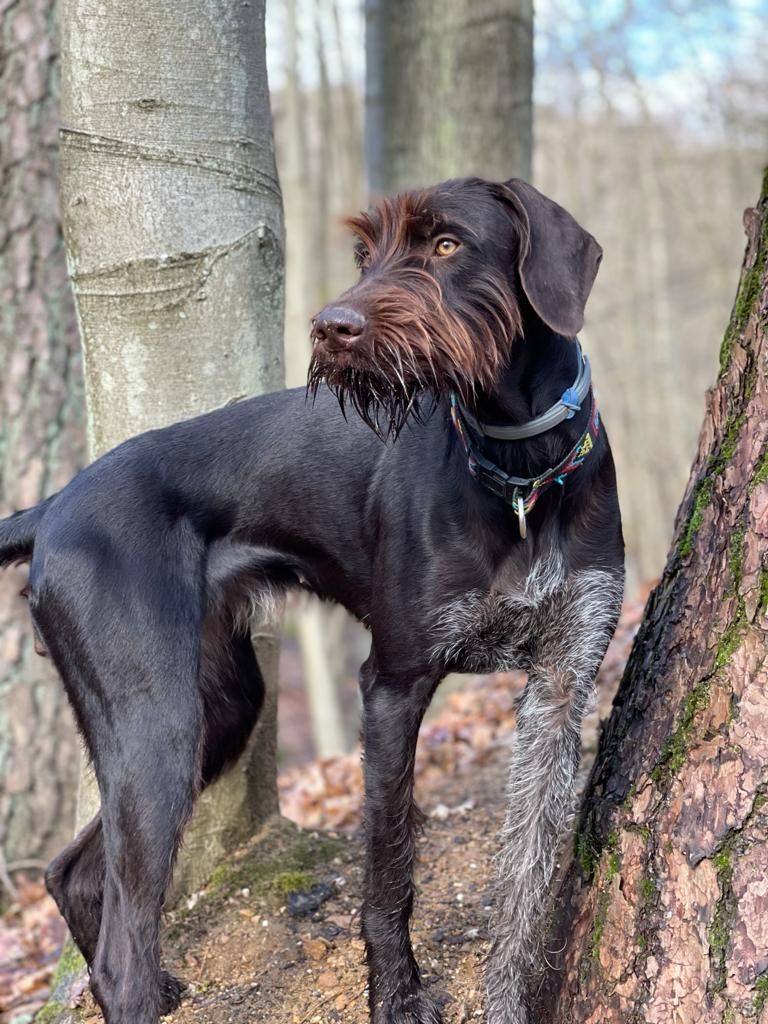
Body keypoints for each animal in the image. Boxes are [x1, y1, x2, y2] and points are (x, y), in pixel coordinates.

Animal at [0, 178, 626, 1024]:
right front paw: (398, 999)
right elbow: (389, 868)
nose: (333, 327)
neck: (519, 468)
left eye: (447, 245)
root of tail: (54, 504)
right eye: (366, 252)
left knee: (73, 873)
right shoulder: (392, 685)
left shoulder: (562, 683)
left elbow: (526, 880)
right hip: (157, 722)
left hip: (220, 706)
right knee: (121, 947)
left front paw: (508, 1004)